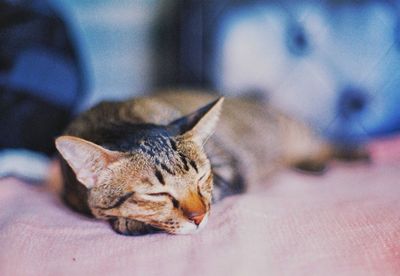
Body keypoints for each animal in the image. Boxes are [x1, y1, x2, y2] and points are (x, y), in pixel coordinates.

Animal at [55, 90, 356, 235]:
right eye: (157, 195)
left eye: (201, 179)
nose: (199, 217)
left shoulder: (229, 169)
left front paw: (131, 223)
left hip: (294, 132)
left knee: (322, 142)